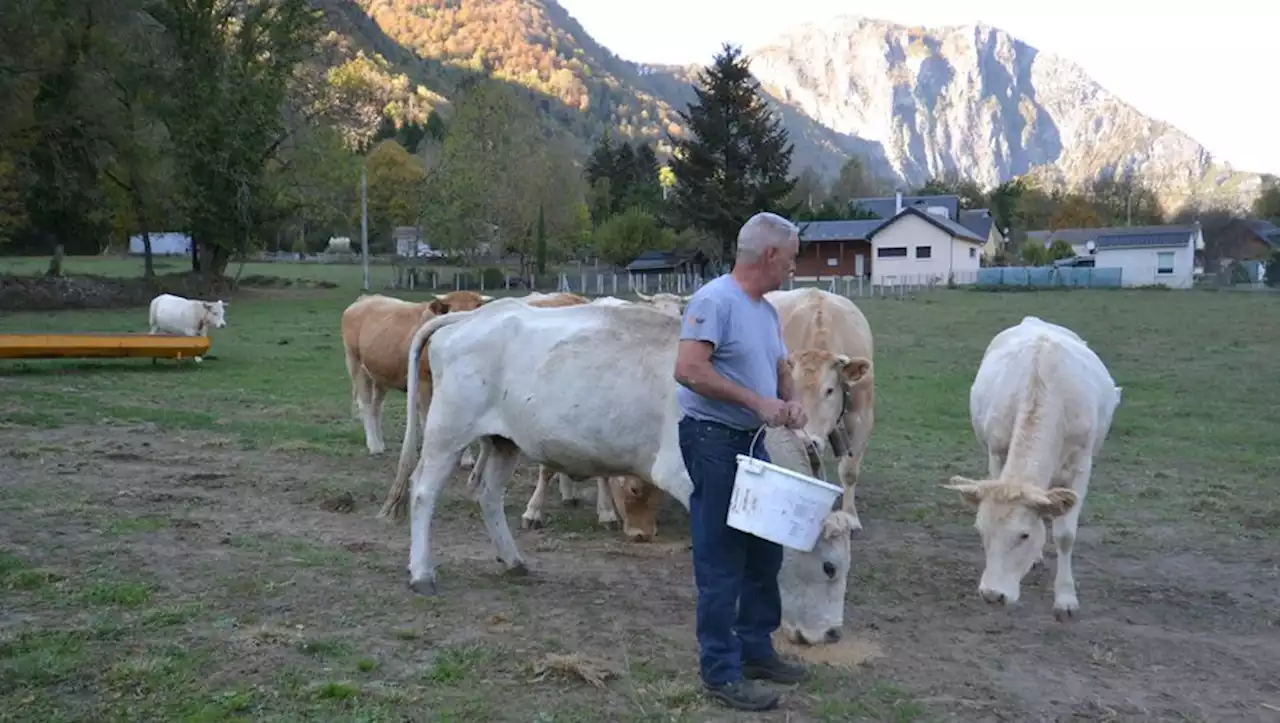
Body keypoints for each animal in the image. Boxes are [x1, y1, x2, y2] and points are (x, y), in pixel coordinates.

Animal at [340, 290, 488, 452]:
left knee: (376, 406)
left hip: (380, 374)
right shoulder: (423, 382)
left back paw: (379, 442)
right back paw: (374, 446)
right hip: (356, 365)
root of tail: (365, 299)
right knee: (366, 405)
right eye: (452, 314)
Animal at [378, 295, 860, 644]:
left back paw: (513, 560)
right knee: (423, 492)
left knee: (489, 495)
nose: (832, 634)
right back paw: (421, 572)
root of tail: (472, 317)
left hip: (503, 441)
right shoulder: (689, 479)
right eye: (830, 567)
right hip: (447, 431)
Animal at [762, 285, 875, 527]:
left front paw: (850, 516)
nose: (807, 441)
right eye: (790, 388)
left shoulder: (862, 416)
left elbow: (849, 470)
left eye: (830, 390)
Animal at [942, 316, 1121, 619]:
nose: (993, 595)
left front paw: (1066, 600)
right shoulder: (996, 452)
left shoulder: (1081, 466)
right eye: (981, 531)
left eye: (1023, 535)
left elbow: (1065, 534)